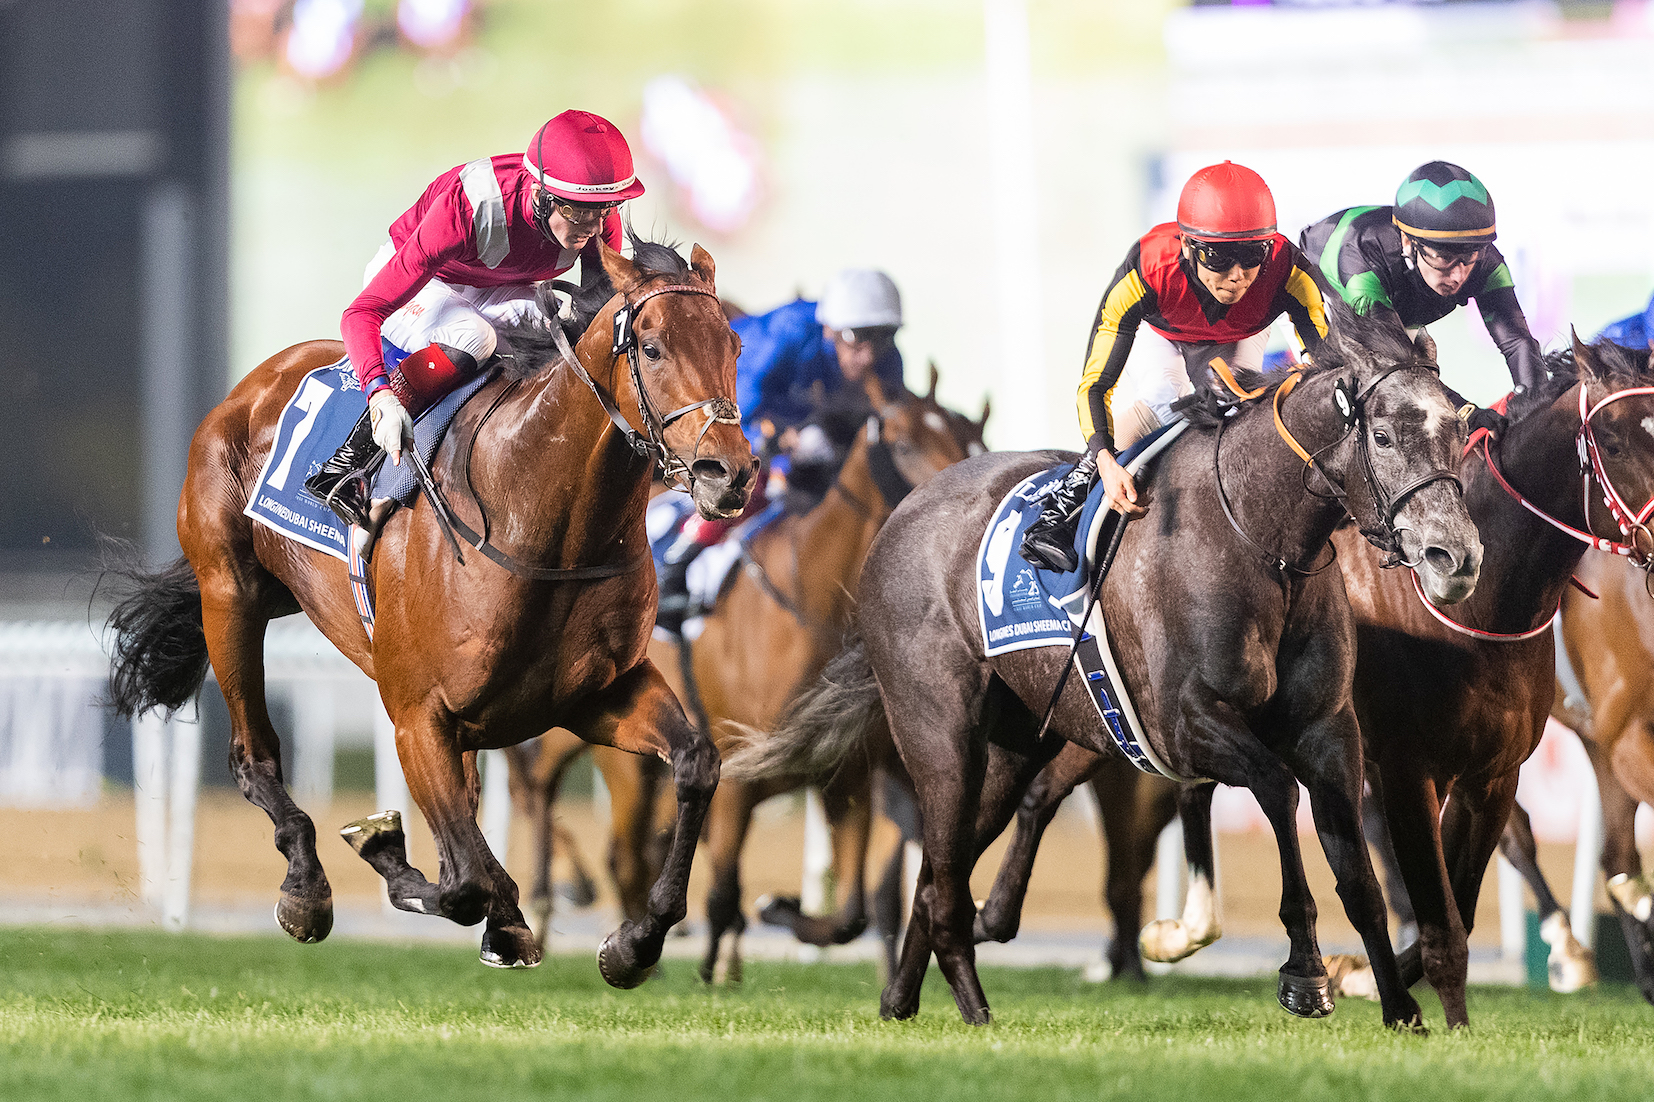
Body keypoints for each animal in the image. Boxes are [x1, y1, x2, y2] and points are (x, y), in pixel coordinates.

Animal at [113, 238, 757, 979]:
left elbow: (697, 763)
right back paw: (306, 889)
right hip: (230, 593)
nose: (729, 472)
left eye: (734, 344)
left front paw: (633, 942)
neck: (539, 520)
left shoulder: (597, 693)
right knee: (254, 755)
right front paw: (389, 854)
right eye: (651, 348)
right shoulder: (418, 717)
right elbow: (467, 880)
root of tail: (253, 384)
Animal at [731, 311, 1481, 1032]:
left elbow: (1359, 876)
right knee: (942, 877)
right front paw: (1304, 976)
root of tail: (899, 517)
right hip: (939, 737)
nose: (1456, 556)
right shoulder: (1187, 725)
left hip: (1013, 747)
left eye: (1460, 426)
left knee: (939, 876)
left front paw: (1400, 1009)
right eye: (1382, 436)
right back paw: (975, 1011)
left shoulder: (1328, 732)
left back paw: (900, 1000)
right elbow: (1275, 788)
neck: (1258, 535)